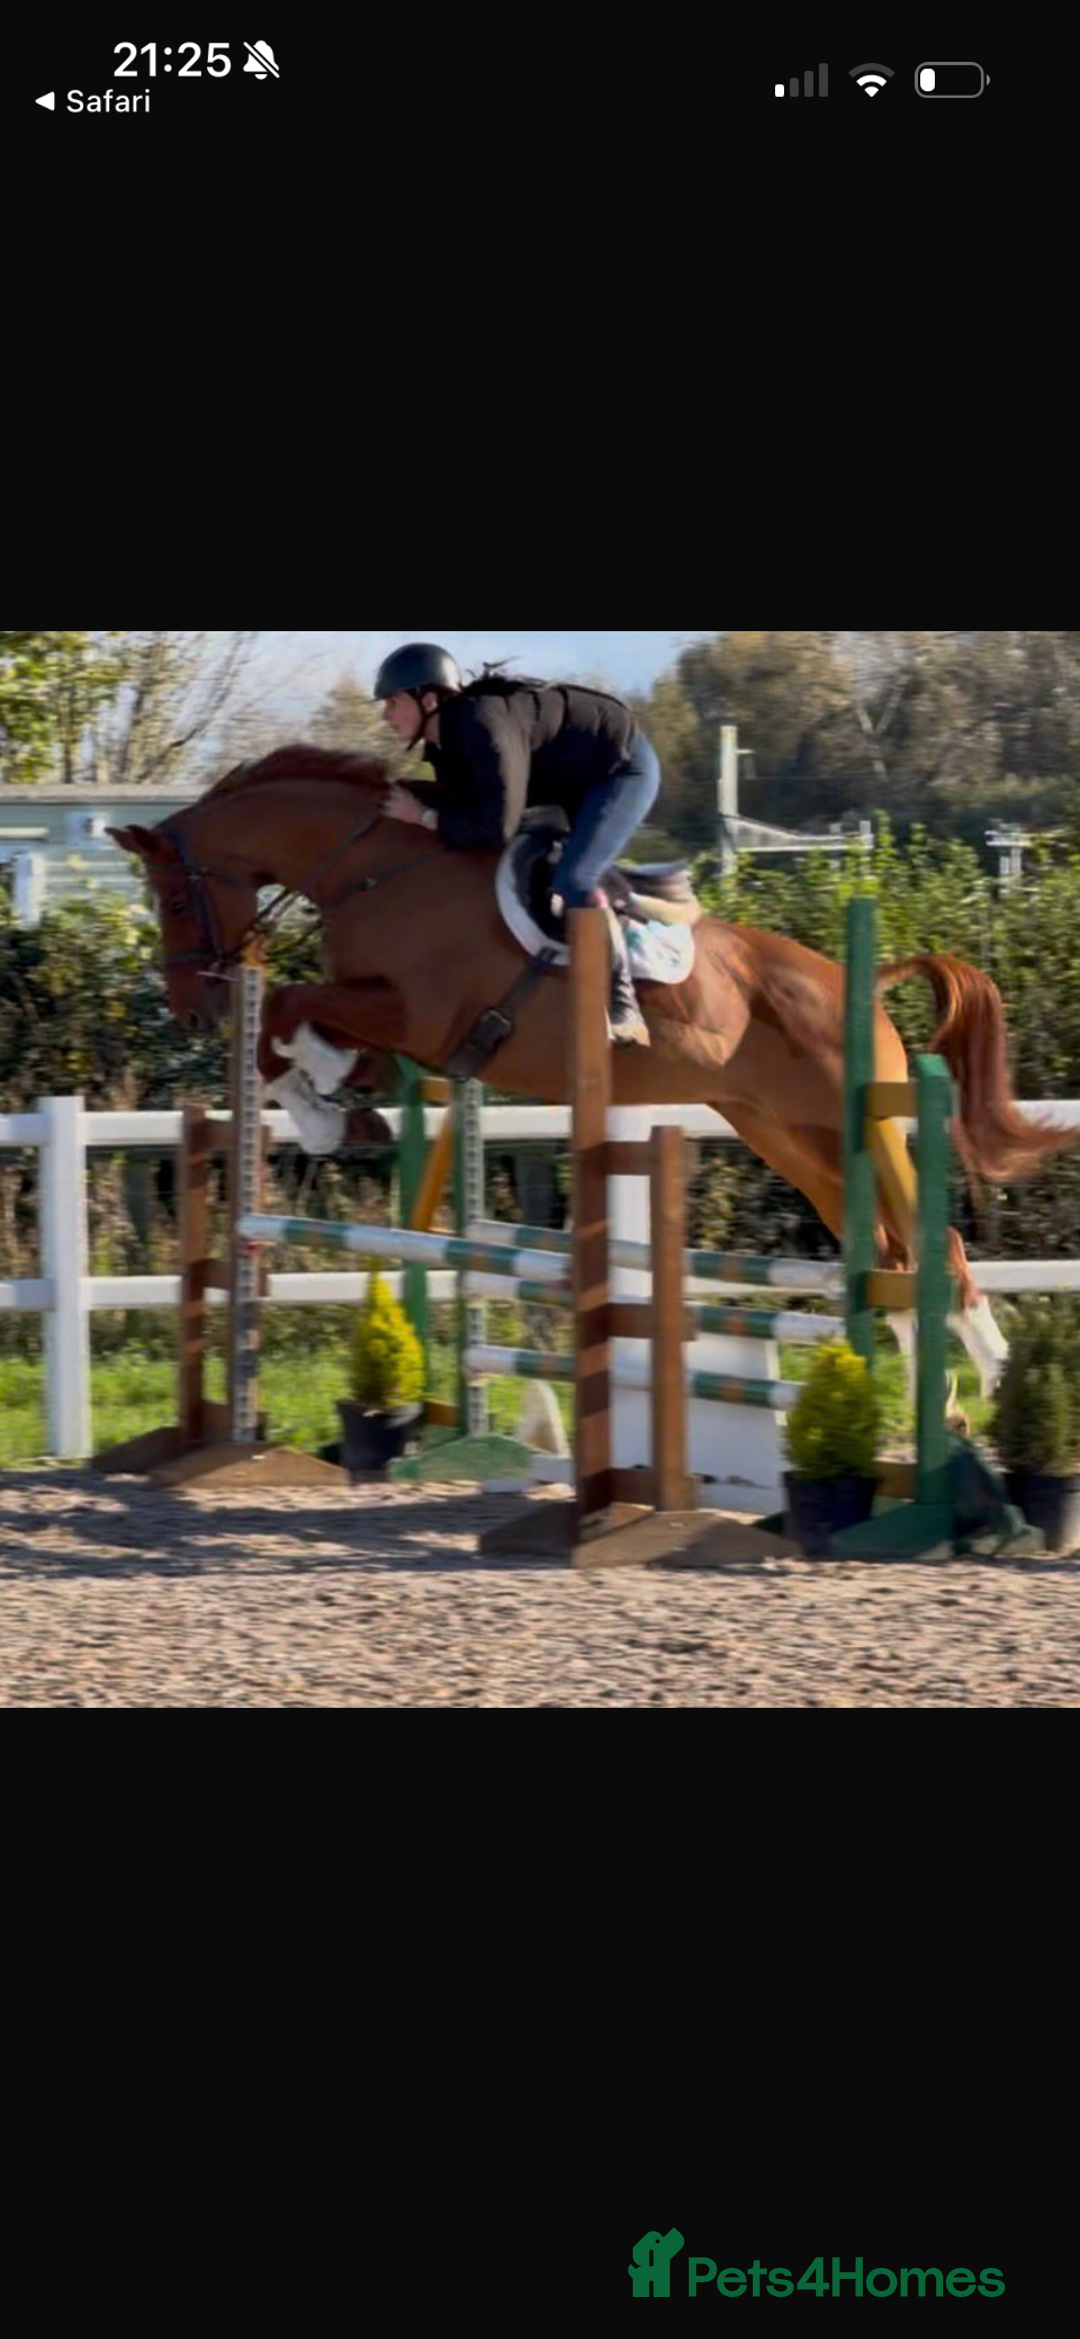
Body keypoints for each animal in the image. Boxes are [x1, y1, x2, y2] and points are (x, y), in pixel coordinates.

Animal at [108, 745, 1076, 1381]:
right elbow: (298, 1033)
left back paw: (992, 1392)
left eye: (171, 898)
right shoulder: (406, 1036)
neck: (379, 868)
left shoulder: (418, 1014)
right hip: (789, 1136)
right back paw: (925, 1406)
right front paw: (329, 1108)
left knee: (934, 1247)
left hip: (853, 1125)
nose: (193, 1006)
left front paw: (319, 1109)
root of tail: (861, 982)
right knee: (887, 1256)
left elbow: (289, 1009)